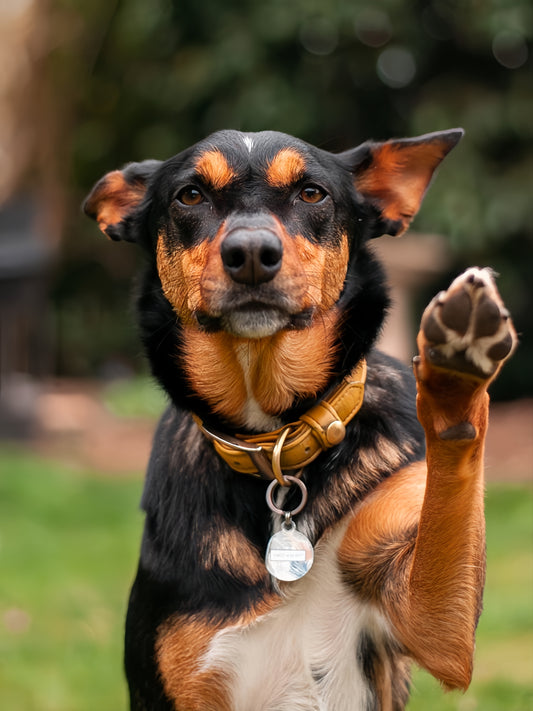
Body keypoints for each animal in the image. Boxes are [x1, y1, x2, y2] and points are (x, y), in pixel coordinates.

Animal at [84, 129, 516, 711]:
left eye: (312, 193)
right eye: (190, 196)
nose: (250, 253)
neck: (275, 443)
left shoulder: (434, 625)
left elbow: (451, 474)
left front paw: (457, 363)